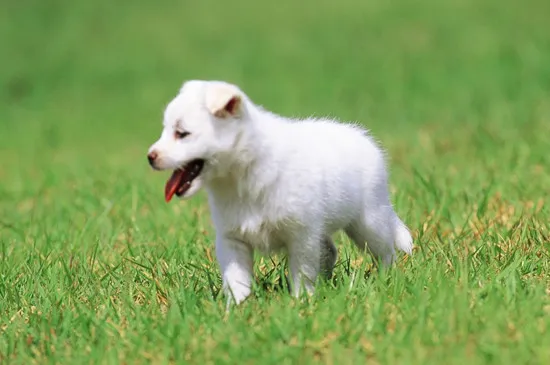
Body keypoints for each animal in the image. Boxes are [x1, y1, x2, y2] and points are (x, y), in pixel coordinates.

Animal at [147, 79, 414, 304]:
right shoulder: (232, 239)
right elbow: (237, 280)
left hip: (368, 222)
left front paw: (300, 303)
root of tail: (363, 138)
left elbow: (301, 273)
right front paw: (237, 311)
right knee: (330, 250)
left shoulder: (301, 236)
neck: (242, 176)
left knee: (386, 250)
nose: (150, 157)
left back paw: (386, 279)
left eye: (182, 133)